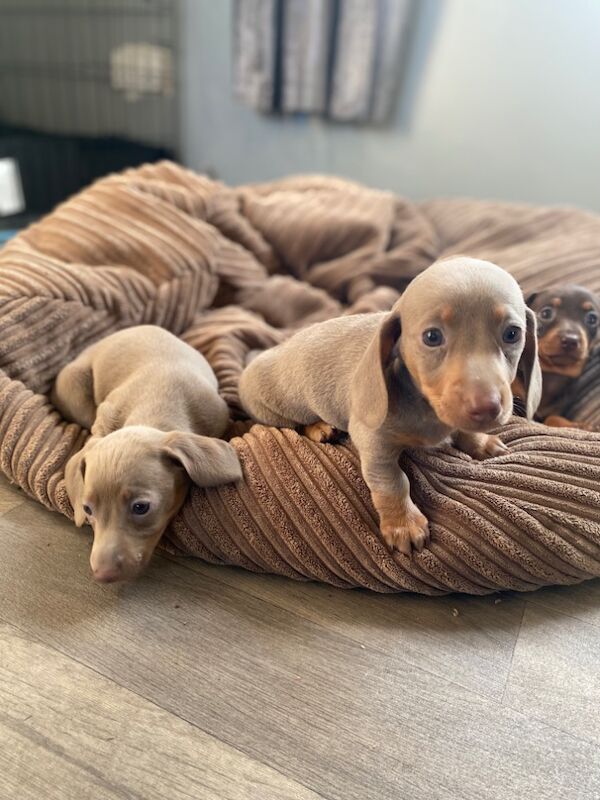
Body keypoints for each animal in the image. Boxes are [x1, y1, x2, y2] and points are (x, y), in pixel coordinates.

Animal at [53, 324, 241, 580]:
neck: (157, 403)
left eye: (141, 507)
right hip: (73, 387)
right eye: (87, 509)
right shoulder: (106, 416)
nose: (102, 574)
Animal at [240, 258, 544, 556]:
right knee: (294, 422)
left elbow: (463, 431)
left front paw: (480, 441)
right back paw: (320, 427)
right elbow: (393, 482)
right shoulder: (373, 443)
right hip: (276, 407)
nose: (487, 408)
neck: (426, 406)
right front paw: (403, 523)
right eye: (432, 337)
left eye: (512, 333)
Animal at [524, 284, 600, 428]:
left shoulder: (557, 409)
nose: (570, 340)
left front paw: (578, 425)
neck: (551, 375)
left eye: (592, 318)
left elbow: (553, 417)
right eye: (546, 313)